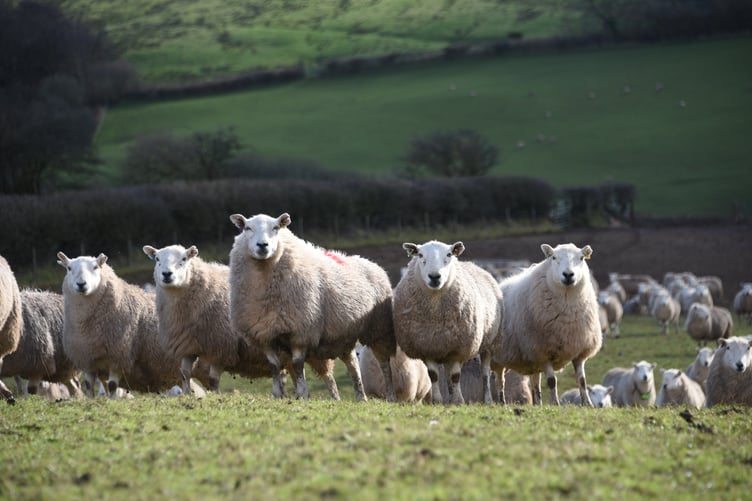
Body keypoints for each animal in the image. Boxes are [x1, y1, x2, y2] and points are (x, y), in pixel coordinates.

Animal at [57, 252, 208, 397]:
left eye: (95, 267)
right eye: (69, 268)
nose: (81, 284)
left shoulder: (118, 357)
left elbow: (112, 386)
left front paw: (112, 401)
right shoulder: (87, 360)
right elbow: (88, 385)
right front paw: (91, 401)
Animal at [143, 244, 340, 398]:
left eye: (183, 259)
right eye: (157, 259)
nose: (166, 274)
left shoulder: (221, 345)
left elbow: (213, 380)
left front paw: (216, 397)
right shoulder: (187, 344)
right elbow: (184, 374)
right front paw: (185, 396)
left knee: (329, 379)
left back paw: (335, 398)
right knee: (296, 372)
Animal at [229, 212, 396, 401]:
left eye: (276, 228)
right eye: (247, 228)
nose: (263, 245)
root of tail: (370, 263)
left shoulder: (301, 331)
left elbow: (297, 365)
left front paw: (302, 394)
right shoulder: (264, 334)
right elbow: (274, 365)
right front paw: (277, 394)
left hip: (379, 328)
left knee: (384, 364)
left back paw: (390, 396)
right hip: (343, 335)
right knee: (352, 363)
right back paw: (359, 397)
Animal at [394, 240, 503, 405]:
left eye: (449, 254)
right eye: (420, 255)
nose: (434, 276)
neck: (435, 313)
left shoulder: (460, 348)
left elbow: (456, 376)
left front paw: (459, 401)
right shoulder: (427, 347)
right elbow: (433, 375)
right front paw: (438, 401)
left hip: (489, 343)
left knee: (485, 372)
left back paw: (488, 399)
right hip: (446, 348)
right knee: (447, 374)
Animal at [493, 243, 602, 406]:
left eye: (581, 258)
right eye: (553, 257)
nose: (568, 275)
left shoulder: (579, 351)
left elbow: (582, 380)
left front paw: (588, 404)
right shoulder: (542, 351)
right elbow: (552, 381)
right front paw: (555, 404)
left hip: (530, 361)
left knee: (534, 382)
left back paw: (538, 404)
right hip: (496, 355)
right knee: (498, 379)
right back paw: (499, 402)